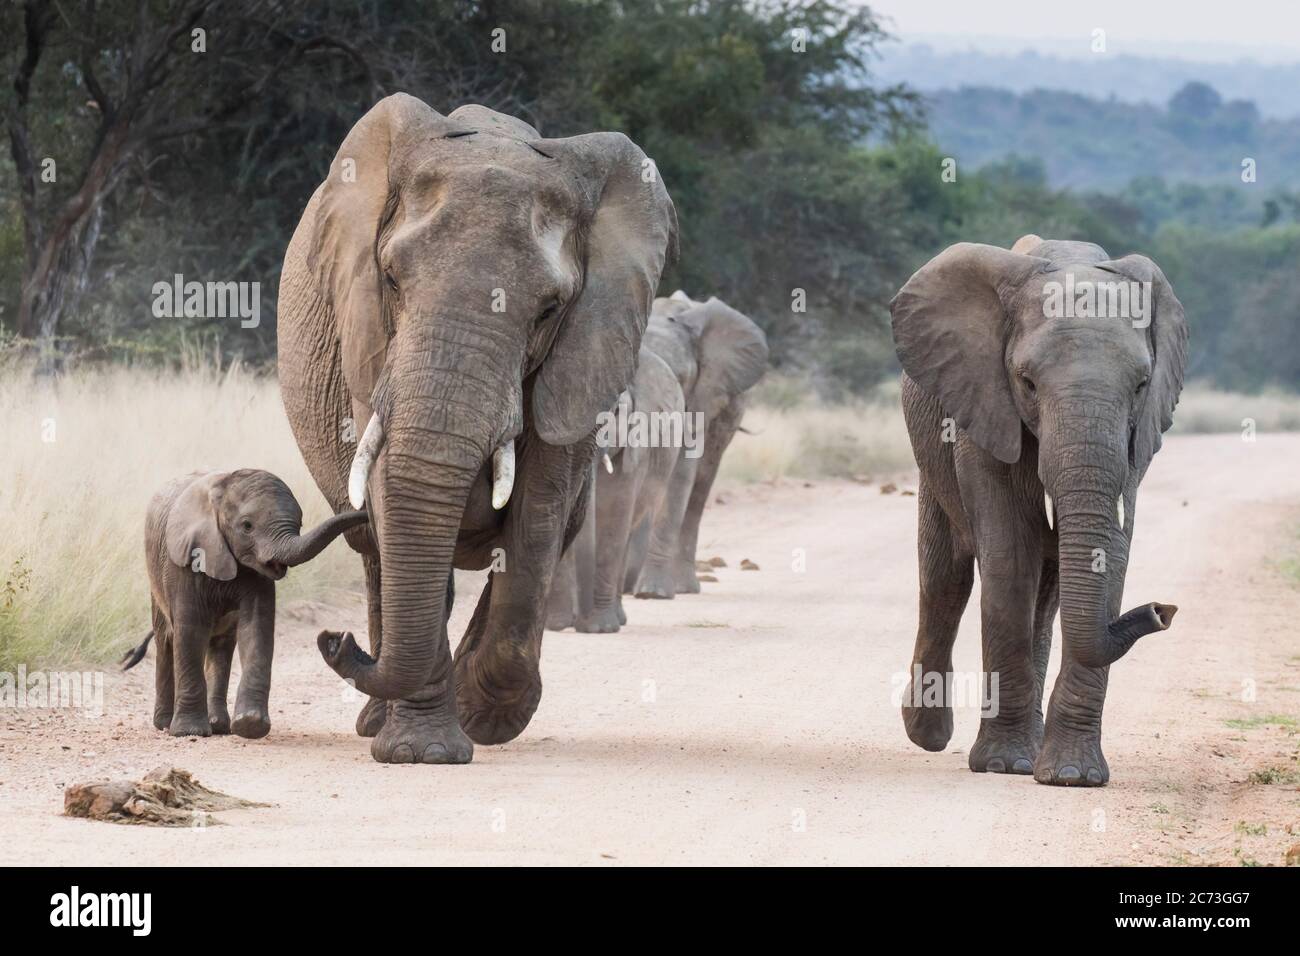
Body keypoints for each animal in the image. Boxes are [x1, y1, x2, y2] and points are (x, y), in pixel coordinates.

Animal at [122, 470, 369, 738]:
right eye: (247, 526)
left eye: (300, 523)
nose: (368, 514)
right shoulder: (184, 561)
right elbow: (190, 630)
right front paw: (189, 731)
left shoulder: (258, 574)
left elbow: (256, 628)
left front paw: (250, 724)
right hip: (156, 579)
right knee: (167, 639)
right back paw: (166, 724)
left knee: (221, 646)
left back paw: (218, 726)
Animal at [543, 345, 686, 634]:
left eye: (615, 412)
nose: (584, 624)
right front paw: (557, 625)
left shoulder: (636, 447)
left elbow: (613, 517)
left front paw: (601, 628)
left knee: (627, 530)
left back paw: (617, 619)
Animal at [621, 291, 764, 598]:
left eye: (682, 379)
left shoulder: (700, 398)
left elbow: (679, 478)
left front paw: (653, 592)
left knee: (700, 485)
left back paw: (681, 587)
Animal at [889, 235, 1185, 790]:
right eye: (1026, 382)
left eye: (1141, 386)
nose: (1163, 611)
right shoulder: (984, 408)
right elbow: (1008, 556)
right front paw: (1003, 766)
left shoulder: (1135, 442)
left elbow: (1110, 559)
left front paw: (1073, 777)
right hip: (932, 456)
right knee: (944, 580)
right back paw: (930, 736)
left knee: (1045, 600)